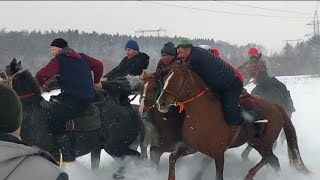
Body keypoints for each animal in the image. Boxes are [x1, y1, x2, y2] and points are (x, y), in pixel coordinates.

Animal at [156, 62, 310, 180]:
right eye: (166, 78)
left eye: (177, 80)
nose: (161, 103)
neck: (202, 115)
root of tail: (276, 106)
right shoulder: (191, 147)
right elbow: (172, 158)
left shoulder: (218, 154)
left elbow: (218, 175)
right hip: (257, 143)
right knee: (273, 160)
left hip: (264, 143)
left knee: (269, 158)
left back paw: (249, 174)